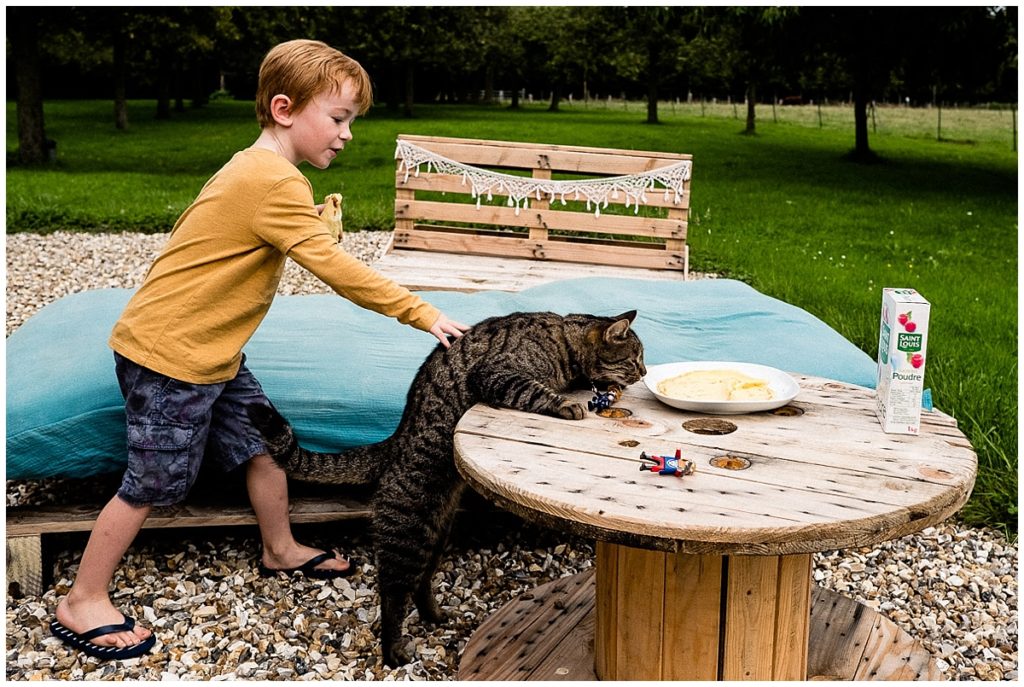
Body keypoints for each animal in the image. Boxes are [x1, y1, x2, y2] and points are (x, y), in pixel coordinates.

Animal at [247, 311, 643, 667]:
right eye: (635, 358)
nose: (644, 372)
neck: (563, 341)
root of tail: (395, 441)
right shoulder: (498, 373)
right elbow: (535, 391)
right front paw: (566, 404)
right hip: (407, 534)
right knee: (392, 593)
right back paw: (392, 651)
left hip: (436, 535)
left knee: (421, 581)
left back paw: (433, 615)